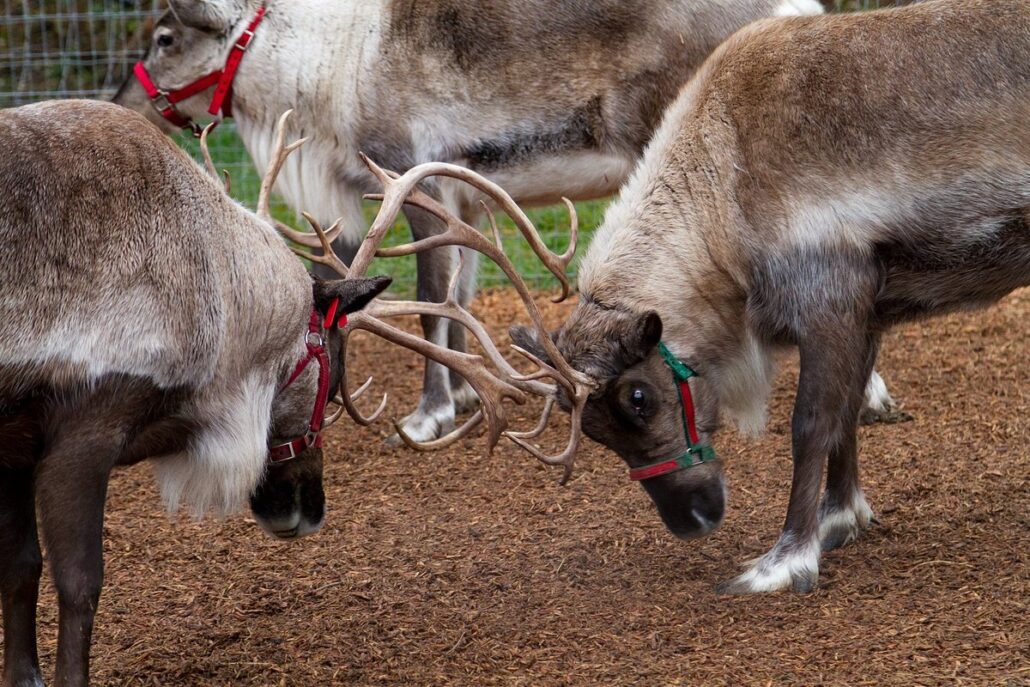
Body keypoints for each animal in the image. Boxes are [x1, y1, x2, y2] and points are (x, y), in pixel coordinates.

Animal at [111, 0, 906, 446]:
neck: (323, 60)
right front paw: (466, 396)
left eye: (164, 38)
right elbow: (459, 295)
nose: (122, 106)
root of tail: (801, 13)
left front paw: (428, 415)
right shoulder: (465, 197)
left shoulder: (410, 176)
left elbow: (429, 304)